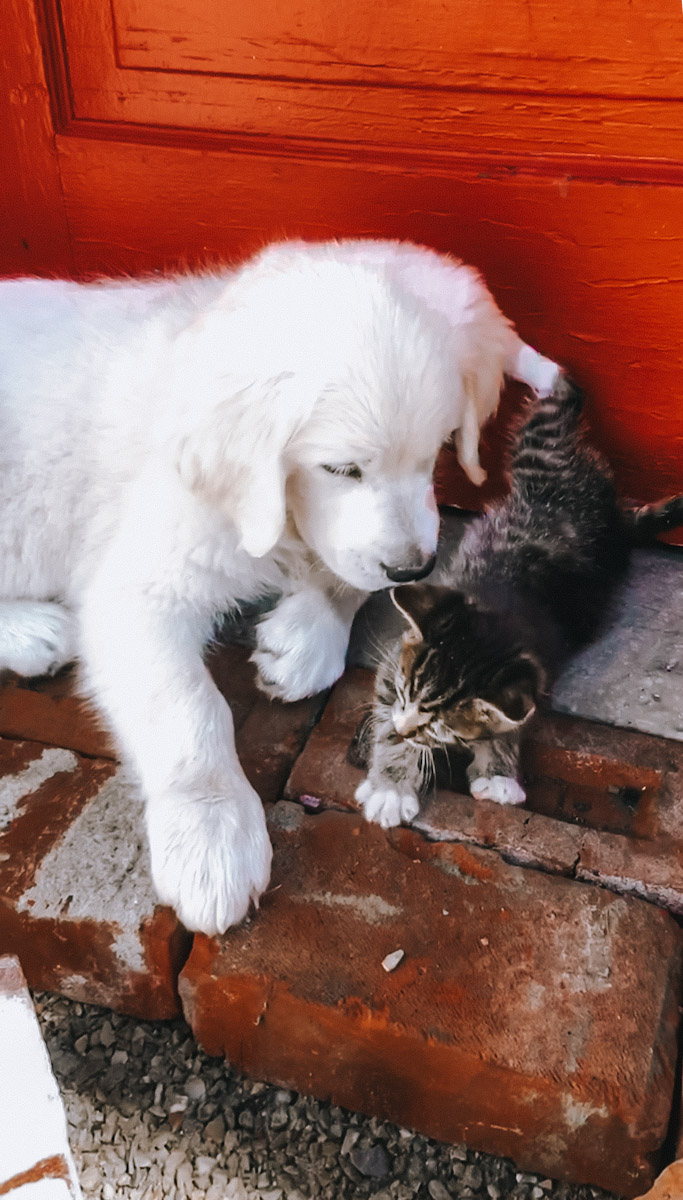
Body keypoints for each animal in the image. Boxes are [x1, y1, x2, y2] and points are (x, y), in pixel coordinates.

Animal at [0, 238, 556, 931]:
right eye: (341, 469)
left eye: (436, 452)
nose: (414, 568)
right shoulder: (139, 587)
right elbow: (189, 707)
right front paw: (212, 834)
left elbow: (351, 574)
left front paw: (307, 638)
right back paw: (33, 630)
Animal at [357, 374, 681, 825]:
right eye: (405, 694)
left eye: (439, 727)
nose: (408, 727)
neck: (498, 616)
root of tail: (611, 523)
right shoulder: (392, 668)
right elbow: (387, 726)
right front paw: (390, 788)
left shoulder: (533, 675)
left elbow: (510, 725)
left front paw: (497, 772)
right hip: (540, 456)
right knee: (557, 407)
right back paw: (542, 372)